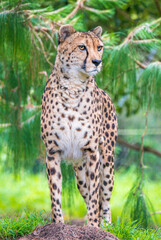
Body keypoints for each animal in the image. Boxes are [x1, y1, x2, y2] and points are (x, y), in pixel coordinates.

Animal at [41, 24, 117, 227]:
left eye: (99, 47)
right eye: (82, 47)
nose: (97, 61)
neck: (73, 87)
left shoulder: (92, 151)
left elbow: (95, 194)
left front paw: (92, 226)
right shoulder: (52, 152)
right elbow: (55, 193)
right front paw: (58, 225)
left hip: (107, 161)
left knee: (104, 197)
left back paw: (105, 226)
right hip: (80, 173)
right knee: (88, 192)